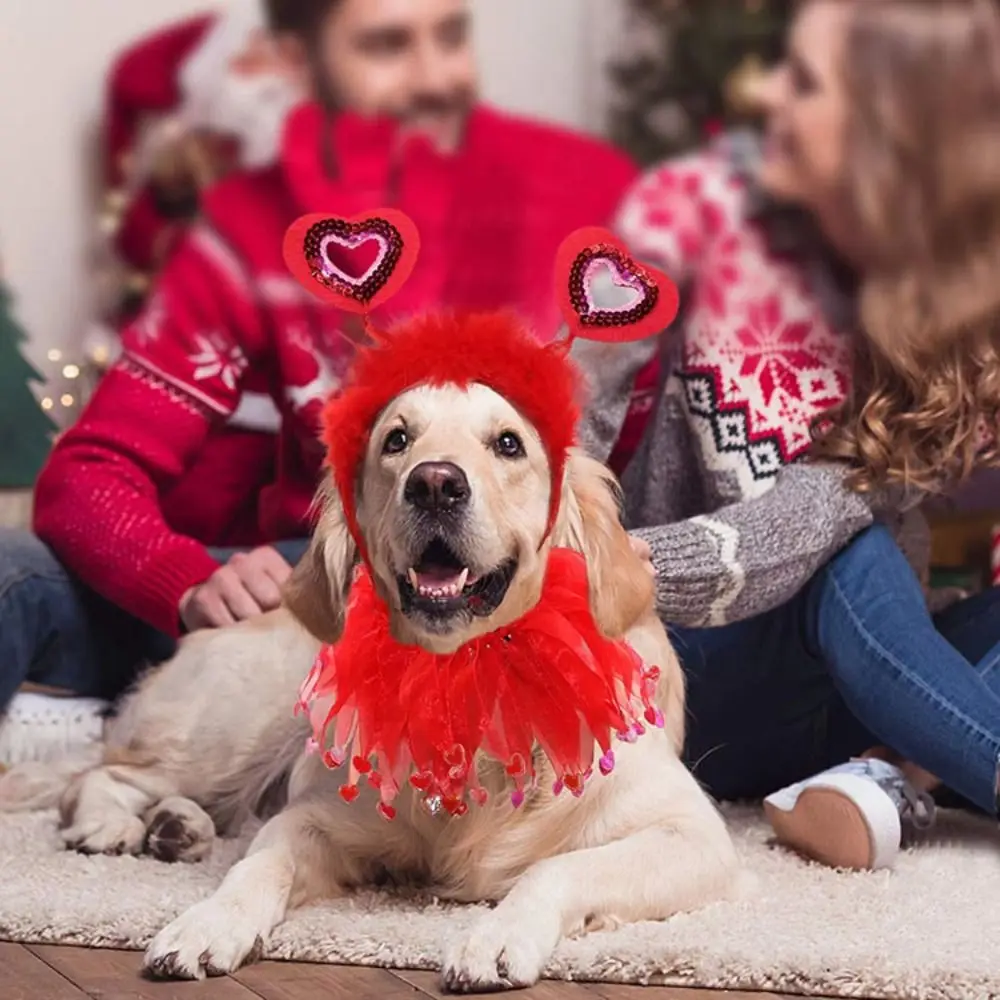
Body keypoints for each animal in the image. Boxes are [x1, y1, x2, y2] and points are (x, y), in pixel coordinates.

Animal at [0, 378, 740, 988]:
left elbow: (556, 866)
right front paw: (209, 923)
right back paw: (113, 826)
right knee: (96, 774)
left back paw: (174, 828)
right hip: (239, 726)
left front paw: (497, 937)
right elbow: (258, 864)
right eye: (397, 440)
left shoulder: (694, 835)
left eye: (508, 443)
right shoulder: (314, 817)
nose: (435, 483)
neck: (464, 680)